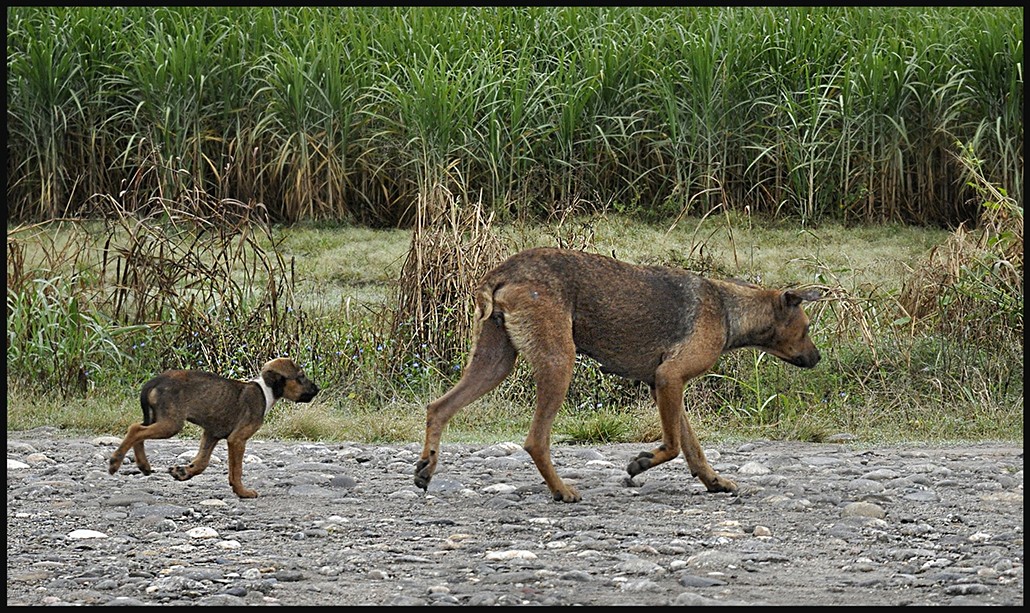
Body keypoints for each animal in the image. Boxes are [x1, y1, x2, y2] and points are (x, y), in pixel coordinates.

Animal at [108, 360, 317, 498]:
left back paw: (143, 465)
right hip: (171, 424)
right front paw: (242, 492)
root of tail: (155, 381)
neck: (265, 391)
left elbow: (202, 462)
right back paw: (116, 461)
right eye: (301, 377)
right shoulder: (237, 439)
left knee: (139, 432)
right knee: (135, 429)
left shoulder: (211, 434)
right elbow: (236, 470)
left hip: (158, 419)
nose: (318, 389)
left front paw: (184, 472)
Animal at [412, 249, 819, 502]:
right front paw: (642, 463)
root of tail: (504, 269)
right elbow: (673, 445)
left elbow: (693, 447)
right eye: (806, 327)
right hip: (559, 362)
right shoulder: (670, 377)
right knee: (535, 441)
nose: (817, 358)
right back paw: (561, 490)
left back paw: (426, 468)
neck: (729, 308)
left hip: (493, 363)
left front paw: (713, 480)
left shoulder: (662, 383)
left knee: (438, 408)